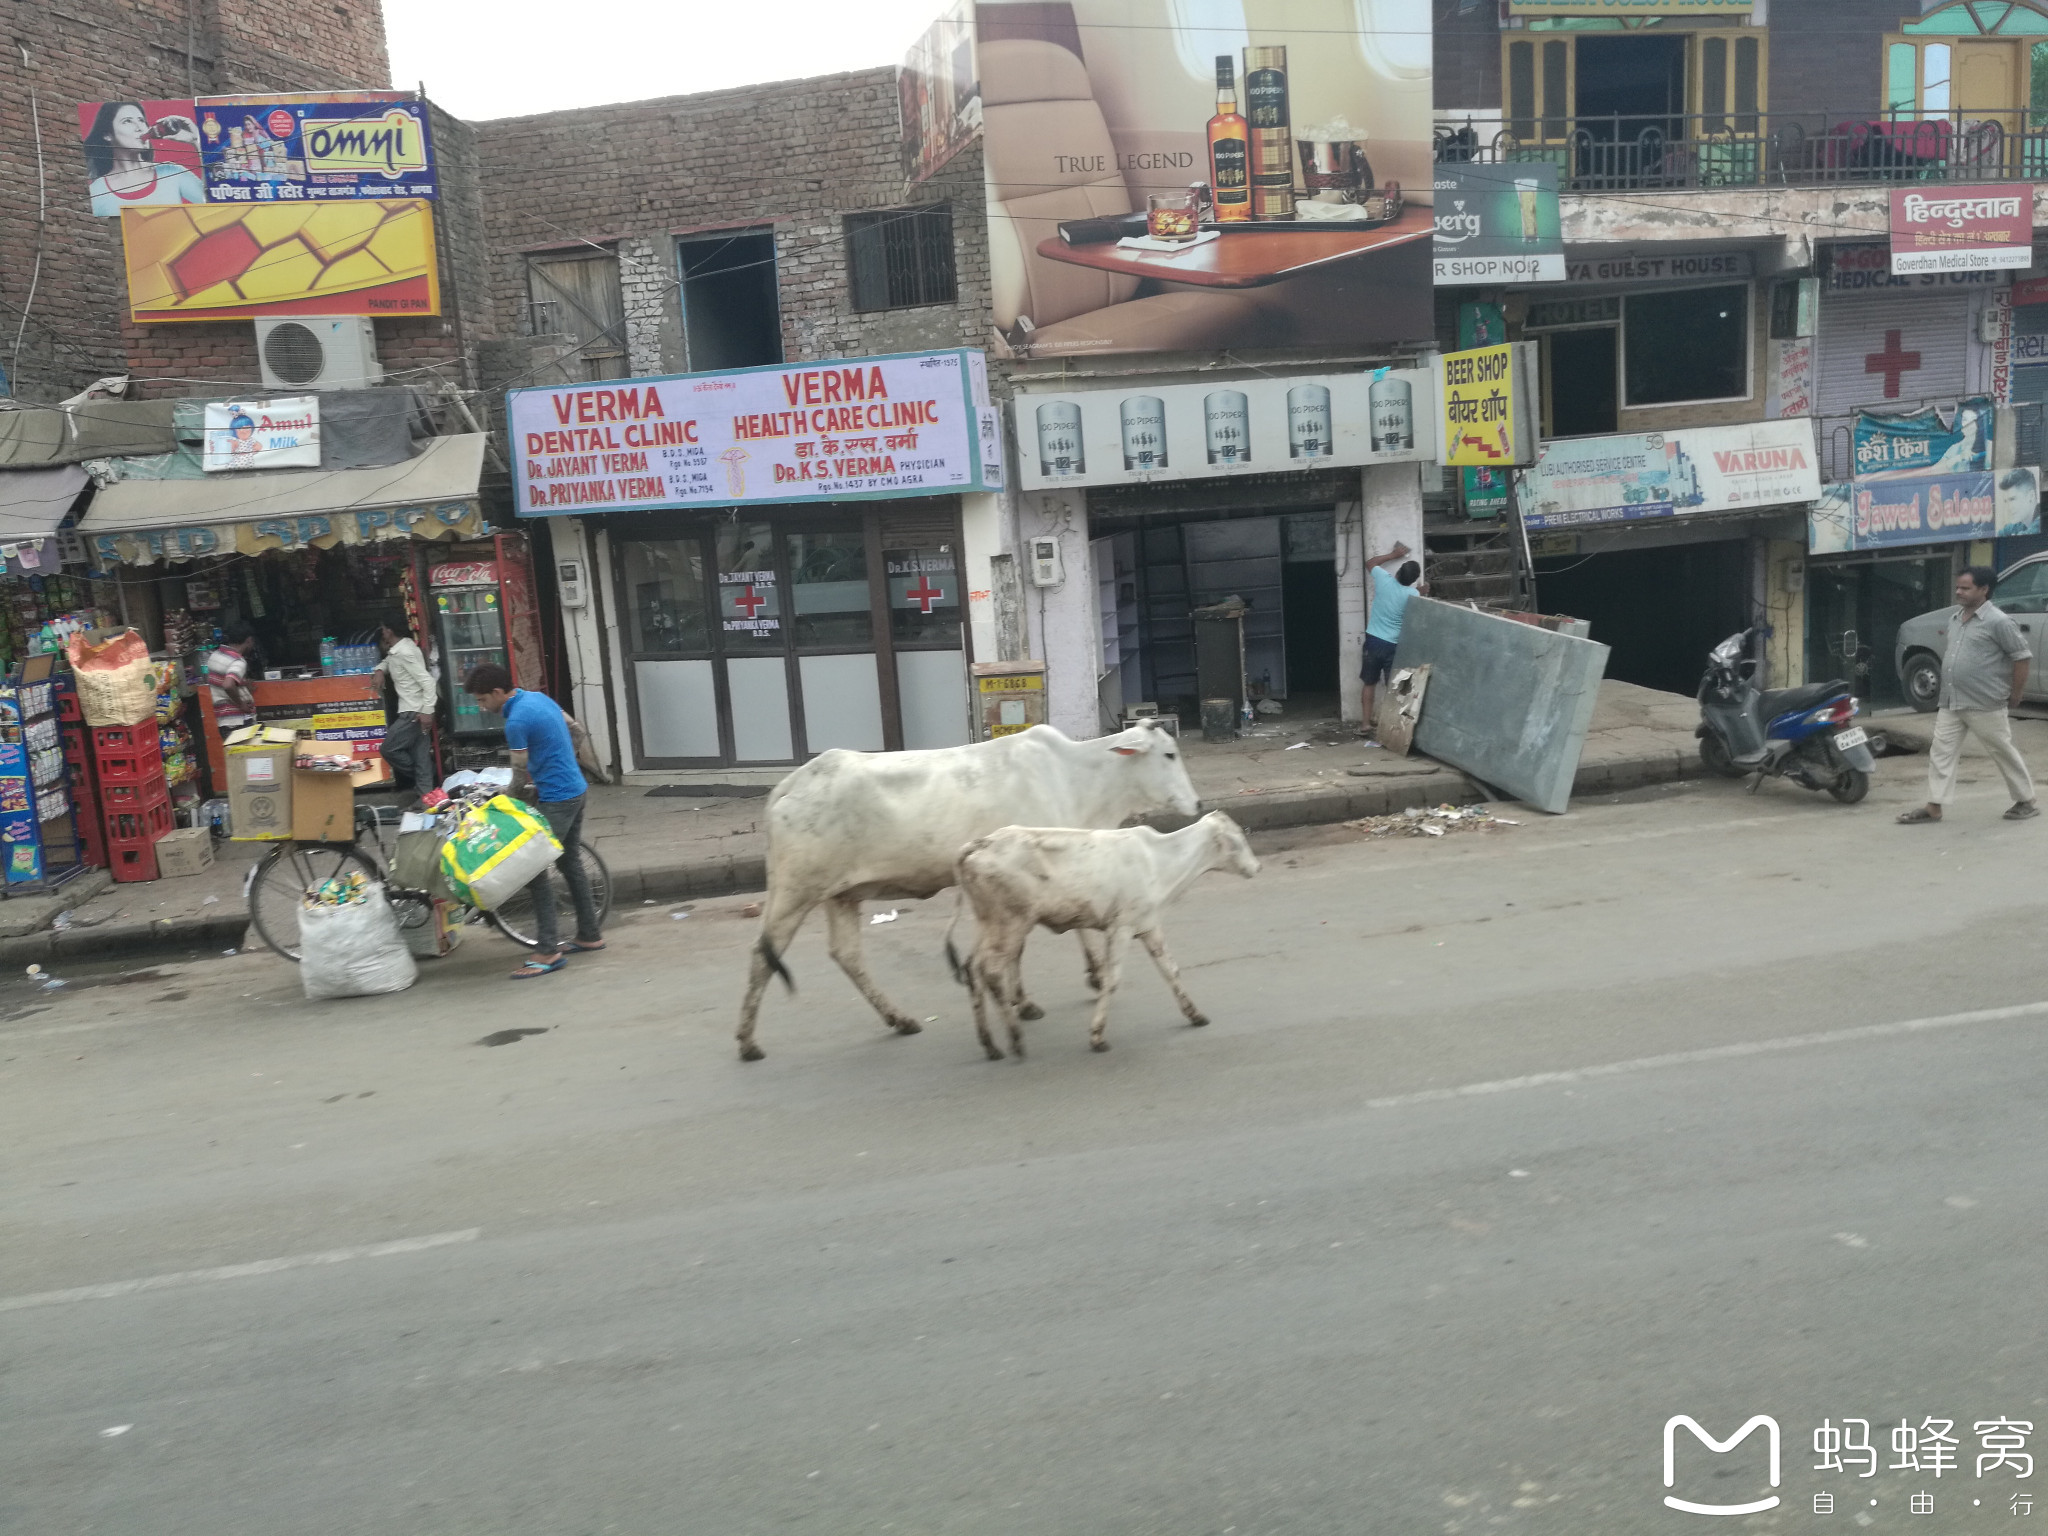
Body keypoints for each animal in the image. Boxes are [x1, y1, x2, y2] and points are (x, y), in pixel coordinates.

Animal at [737, 720, 1196, 1056]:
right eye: (1169, 754)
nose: (1195, 804)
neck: (1078, 779)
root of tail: (790, 784)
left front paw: (1032, 998)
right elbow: (1039, 943)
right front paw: (1076, 983)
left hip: (842, 894)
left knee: (846, 955)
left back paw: (899, 1020)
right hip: (796, 890)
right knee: (763, 954)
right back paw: (747, 1042)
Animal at [950, 819, 1253, 1056]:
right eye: (1239, 836)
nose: (1256, 867)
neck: (1158, 860)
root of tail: (980, 844)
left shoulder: (1149, 925)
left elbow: (1171, 970)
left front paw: (1195, 1014)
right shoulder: (1121, 928)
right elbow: (1112, 979)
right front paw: (1097, 1036)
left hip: (988, 924)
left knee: (971, 968)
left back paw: (990, 1045)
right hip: (1011, 924)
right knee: (990, 972)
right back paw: (1014, 1039)